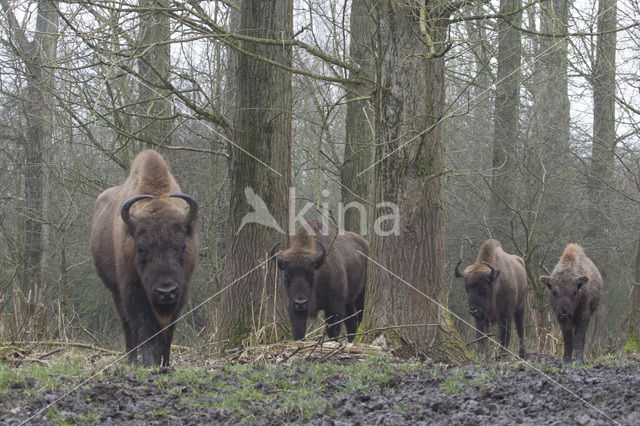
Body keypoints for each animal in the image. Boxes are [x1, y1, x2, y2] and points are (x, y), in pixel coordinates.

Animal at [89, 151, 196, 366]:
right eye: (141, 248)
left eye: (182, 246)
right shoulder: (134, 291)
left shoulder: (180, 293)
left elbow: (168, 331)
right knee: (127, 327)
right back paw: (131, 359)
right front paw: (150, 363)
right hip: (115, 292)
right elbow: (146, 329)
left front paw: (165, 362)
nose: (166, 292)